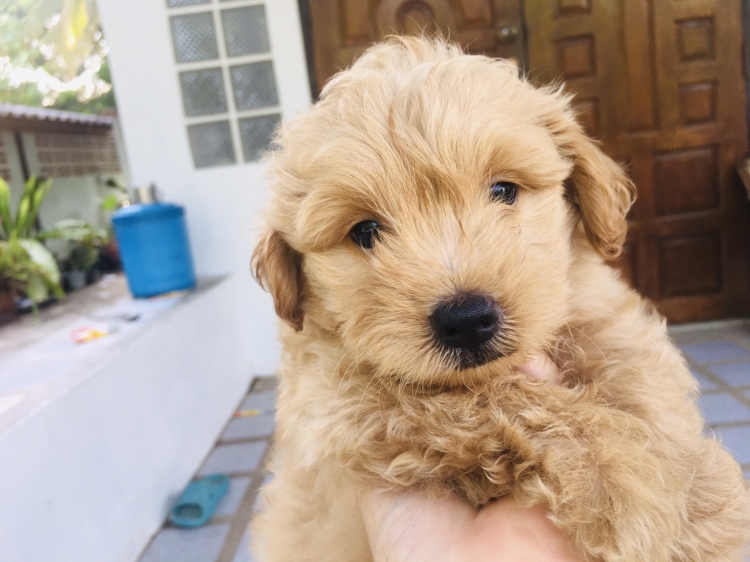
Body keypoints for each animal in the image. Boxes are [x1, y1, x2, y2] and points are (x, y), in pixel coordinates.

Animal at [250, 37, 750, 562]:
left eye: (504, 190)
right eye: (365, 232)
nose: (467, 318)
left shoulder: (591, 305)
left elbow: (638, 371)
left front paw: (695, 495)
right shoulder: (340, 400)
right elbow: (506, 400)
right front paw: (627, 480)